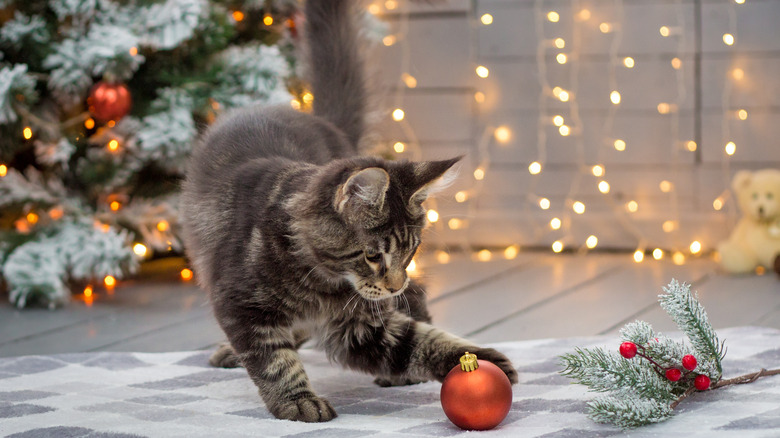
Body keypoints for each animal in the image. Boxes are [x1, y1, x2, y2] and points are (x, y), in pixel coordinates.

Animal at [180, 0, 516, 422]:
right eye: (372, 256)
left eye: (410, 251)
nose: (394, 284)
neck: (320, 282)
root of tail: (317, 119)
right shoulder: (241, 306)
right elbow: (274, 360)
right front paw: (297, 401)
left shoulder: (359, 324)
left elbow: (417, 340)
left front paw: (476, 360)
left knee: (418, 295)